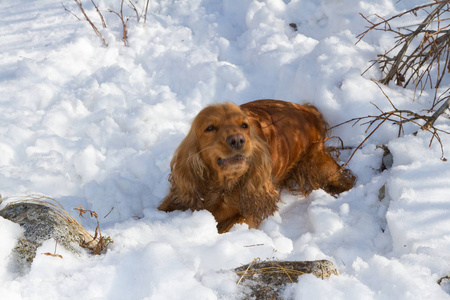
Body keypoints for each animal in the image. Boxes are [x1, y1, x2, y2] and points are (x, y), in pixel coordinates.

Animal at [158, 99, 356, 233]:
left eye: (244, 125)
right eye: (210, 127)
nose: (237, 139)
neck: (221, 187)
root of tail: (309, 110)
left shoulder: (248, 213)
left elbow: (227, 227)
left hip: (319, 165)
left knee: (347, 179)